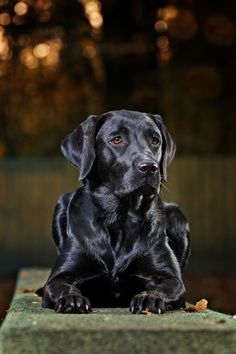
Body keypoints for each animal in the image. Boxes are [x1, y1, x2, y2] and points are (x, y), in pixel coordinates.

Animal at [38, 109, 190, 314]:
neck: (120, 218)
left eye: (155, 140)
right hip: (60, 204)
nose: (150, 167)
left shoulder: (171, 278)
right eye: (117, 139)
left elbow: (164, 286)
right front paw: (72, 298)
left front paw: (149, 297)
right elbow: (61, 285)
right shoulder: (59, 276)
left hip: (177, 215)